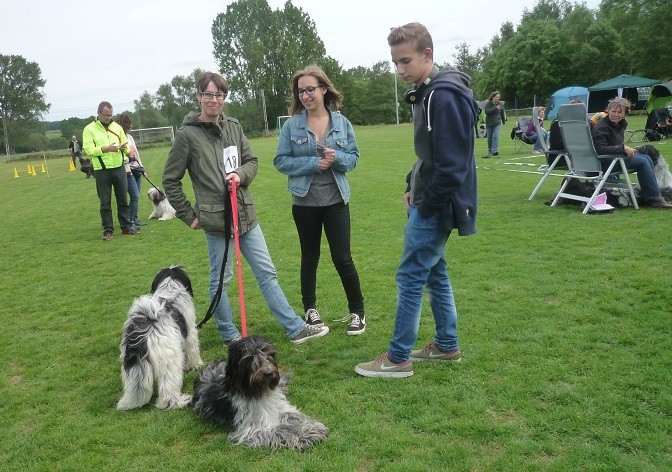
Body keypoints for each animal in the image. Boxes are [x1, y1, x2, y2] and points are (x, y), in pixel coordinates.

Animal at [117, 266, 203, 410]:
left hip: (134, 365)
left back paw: (129, 403)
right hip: (169, 360)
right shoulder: (191, 333)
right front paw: (195, 365)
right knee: (169, 389)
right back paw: (178, 402)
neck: (170, 288)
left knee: (135, 388)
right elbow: (193, 351)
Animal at [192, 336, 328, 450]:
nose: (268, 372)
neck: (260, 392)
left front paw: (312, 429)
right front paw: (303, 437)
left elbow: (296, 418)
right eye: (250, 358)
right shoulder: (252, 428)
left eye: (268, 354)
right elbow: (280, 430)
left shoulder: (282, 409)